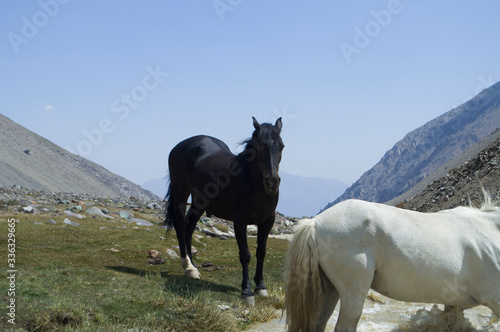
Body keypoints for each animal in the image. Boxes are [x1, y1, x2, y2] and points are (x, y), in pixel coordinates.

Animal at [163, 116, 282, 304]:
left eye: (281, 146)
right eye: (258, 147)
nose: (272, 182)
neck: (253, 184)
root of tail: (179, 146)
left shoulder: (267, 221)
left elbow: (261, 252)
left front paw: (261, 287)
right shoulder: (240, 221)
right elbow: (245, 254)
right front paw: (247, 291)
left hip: (199, 202)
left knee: (189, 226)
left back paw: (194, 267)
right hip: (180, 192)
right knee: (181, 226)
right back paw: (188, 267)